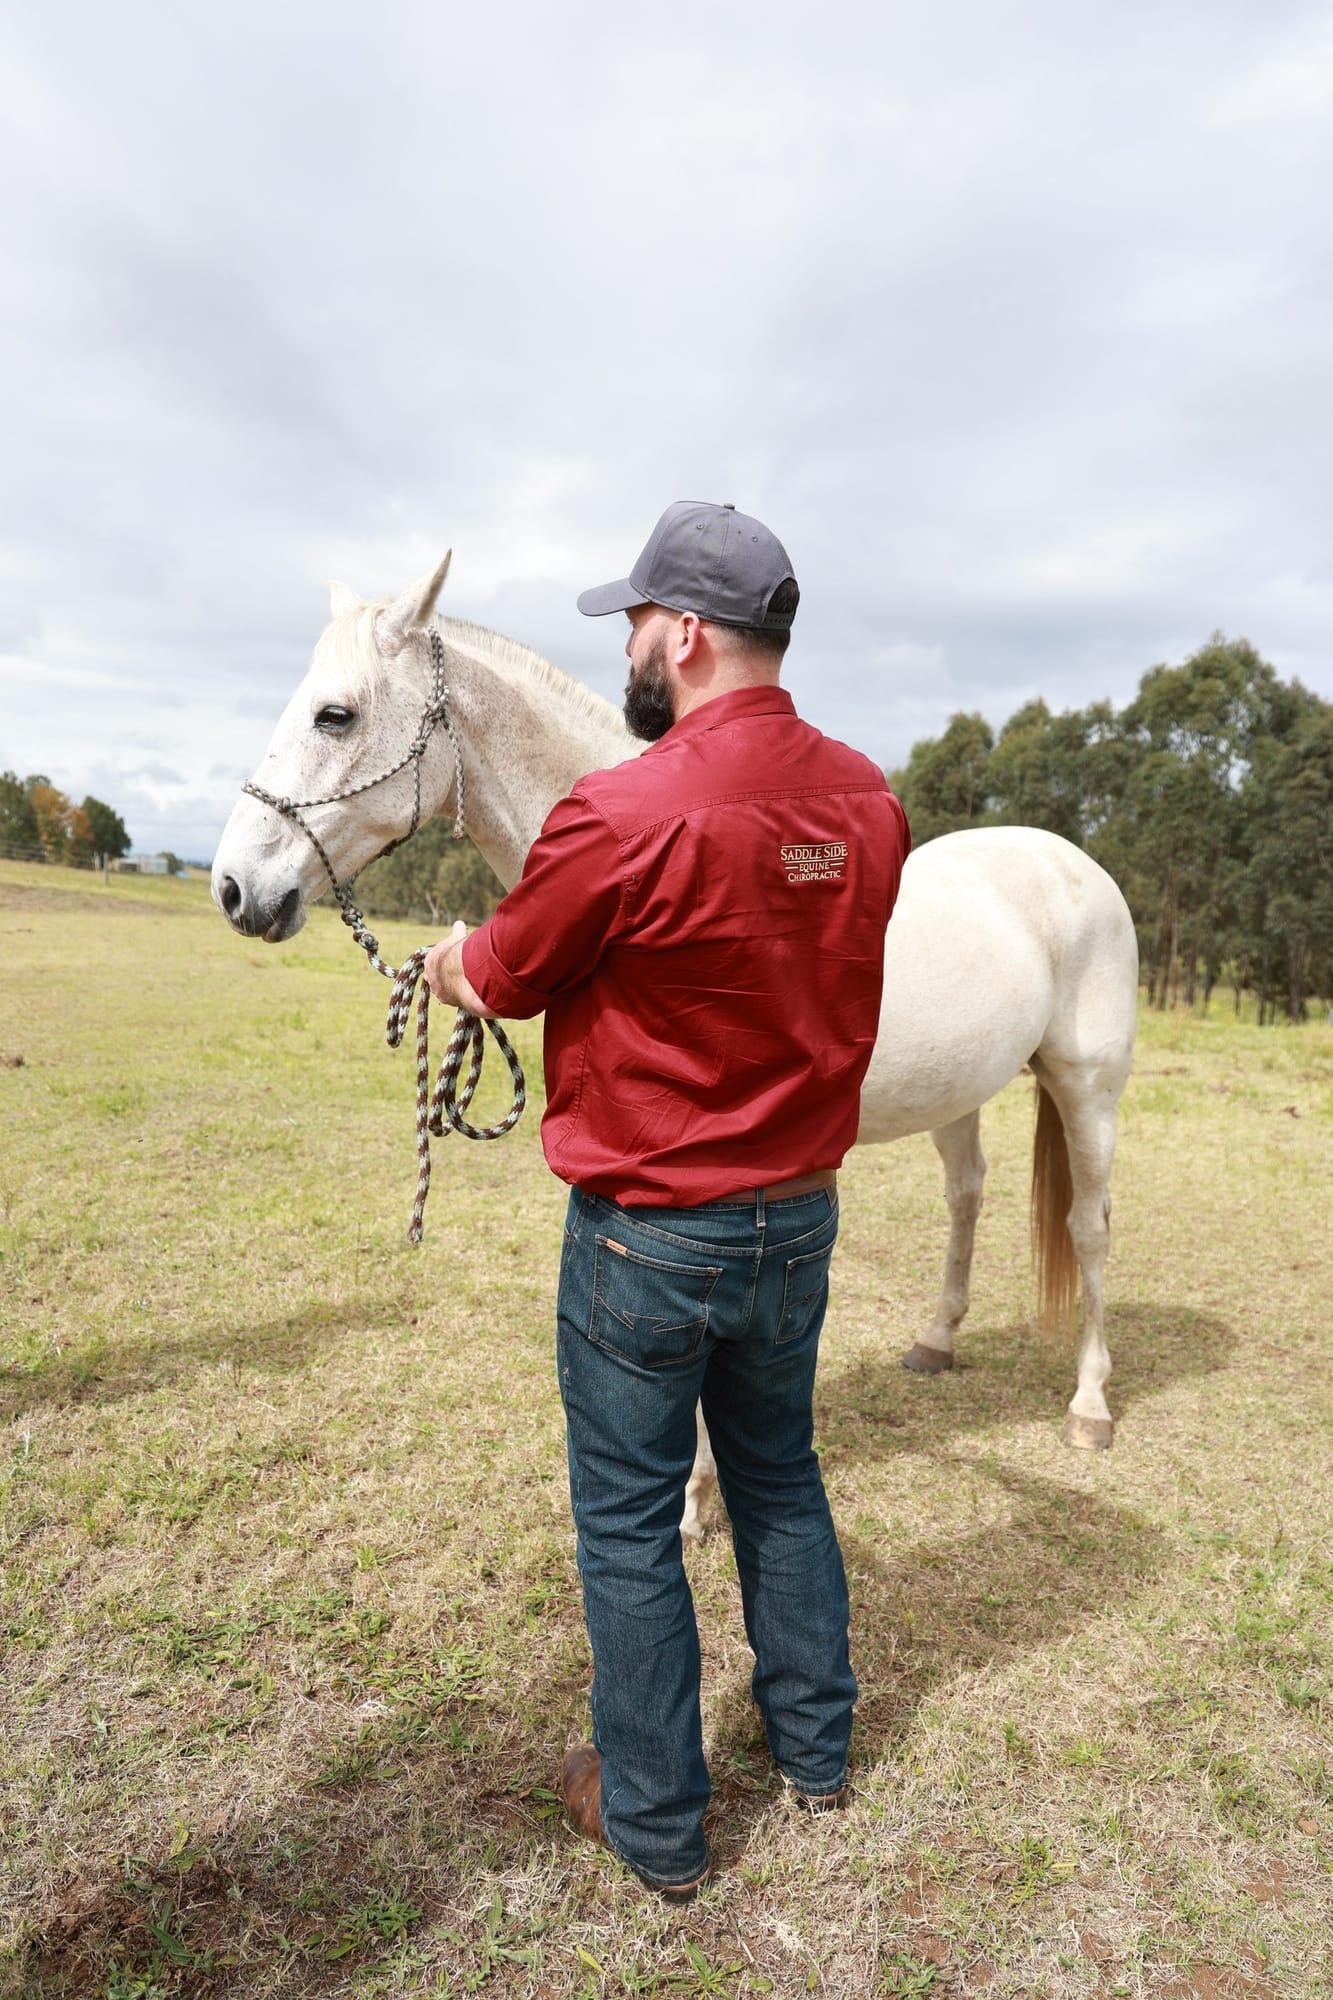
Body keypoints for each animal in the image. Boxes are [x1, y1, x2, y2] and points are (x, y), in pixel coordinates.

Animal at [212, 554, 1139, 1537]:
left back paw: (1088, 1405)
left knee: (1088, 1227)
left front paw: (694, 1499)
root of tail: (1071, 862)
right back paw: (935, 1341)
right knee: (966, 1197)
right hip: (958, 1096)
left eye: (335, 714)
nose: (233, 887)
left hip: (1087, 1089)